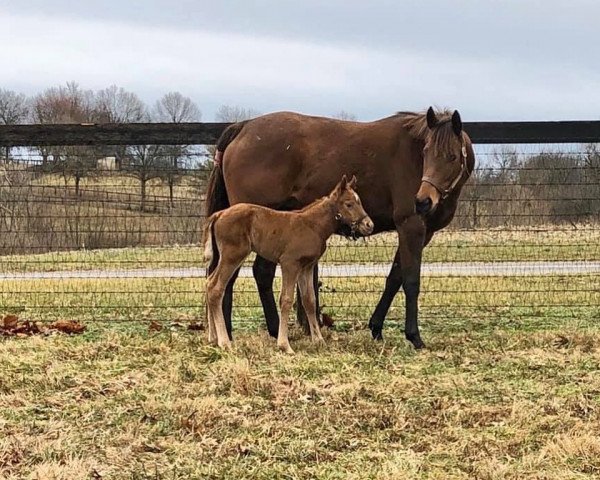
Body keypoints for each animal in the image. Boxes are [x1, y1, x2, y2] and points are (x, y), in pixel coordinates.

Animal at [207, 176, 376, 352]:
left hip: (224, 256)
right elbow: (286, 299)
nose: (369, 225)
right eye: (348, 204)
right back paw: (224, 342)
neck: (312, 225)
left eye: (359, 202)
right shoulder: (290, 263)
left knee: (208, 283)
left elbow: (310, 300)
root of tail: (219, 214)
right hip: (232, 255)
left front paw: (318, 340)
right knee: (216, 288)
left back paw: (213, 338)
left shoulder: (306, 267)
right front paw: (284, 345)